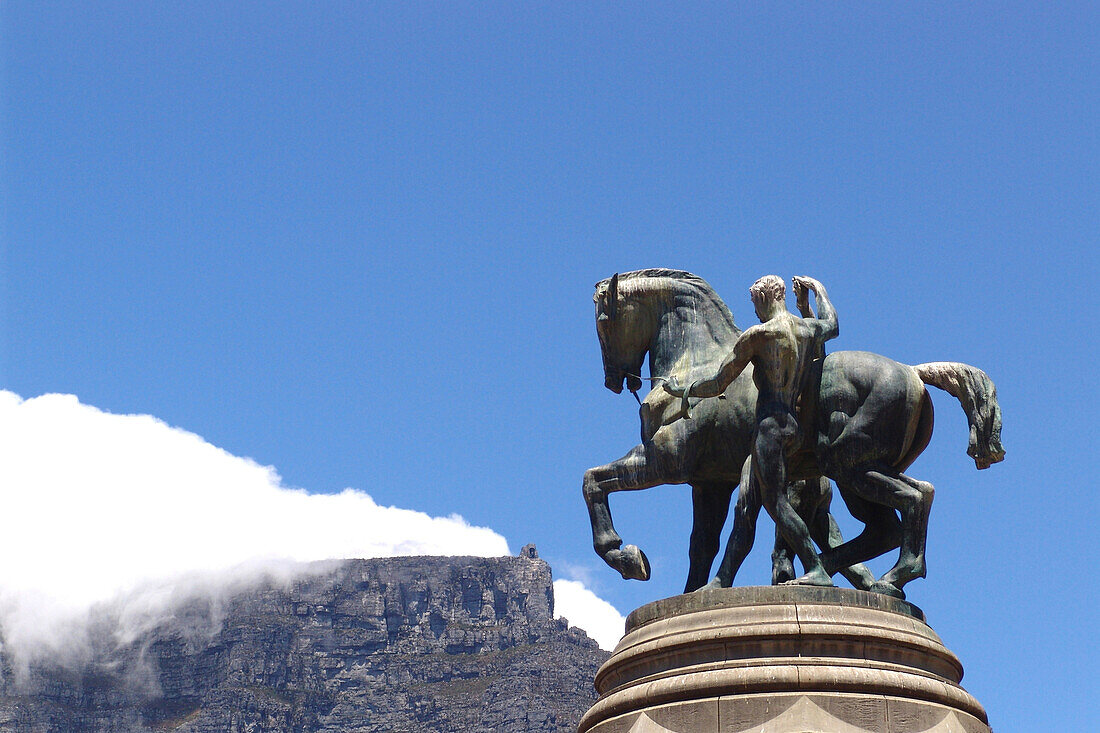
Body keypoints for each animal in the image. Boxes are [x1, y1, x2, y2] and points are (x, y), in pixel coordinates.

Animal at [585, 265, 1007, 598]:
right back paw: (849, 574)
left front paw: (626, 557)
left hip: (848, 465)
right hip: (857, 475)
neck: (696, 359)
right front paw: (690, 593)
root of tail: (913, 373)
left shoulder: (665, 463)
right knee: (893, 518)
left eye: (603, 322)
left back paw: (882, 575)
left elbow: (593, 481)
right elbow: (702, 543)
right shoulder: (709, 482)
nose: (611, 380)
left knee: (911, 501)